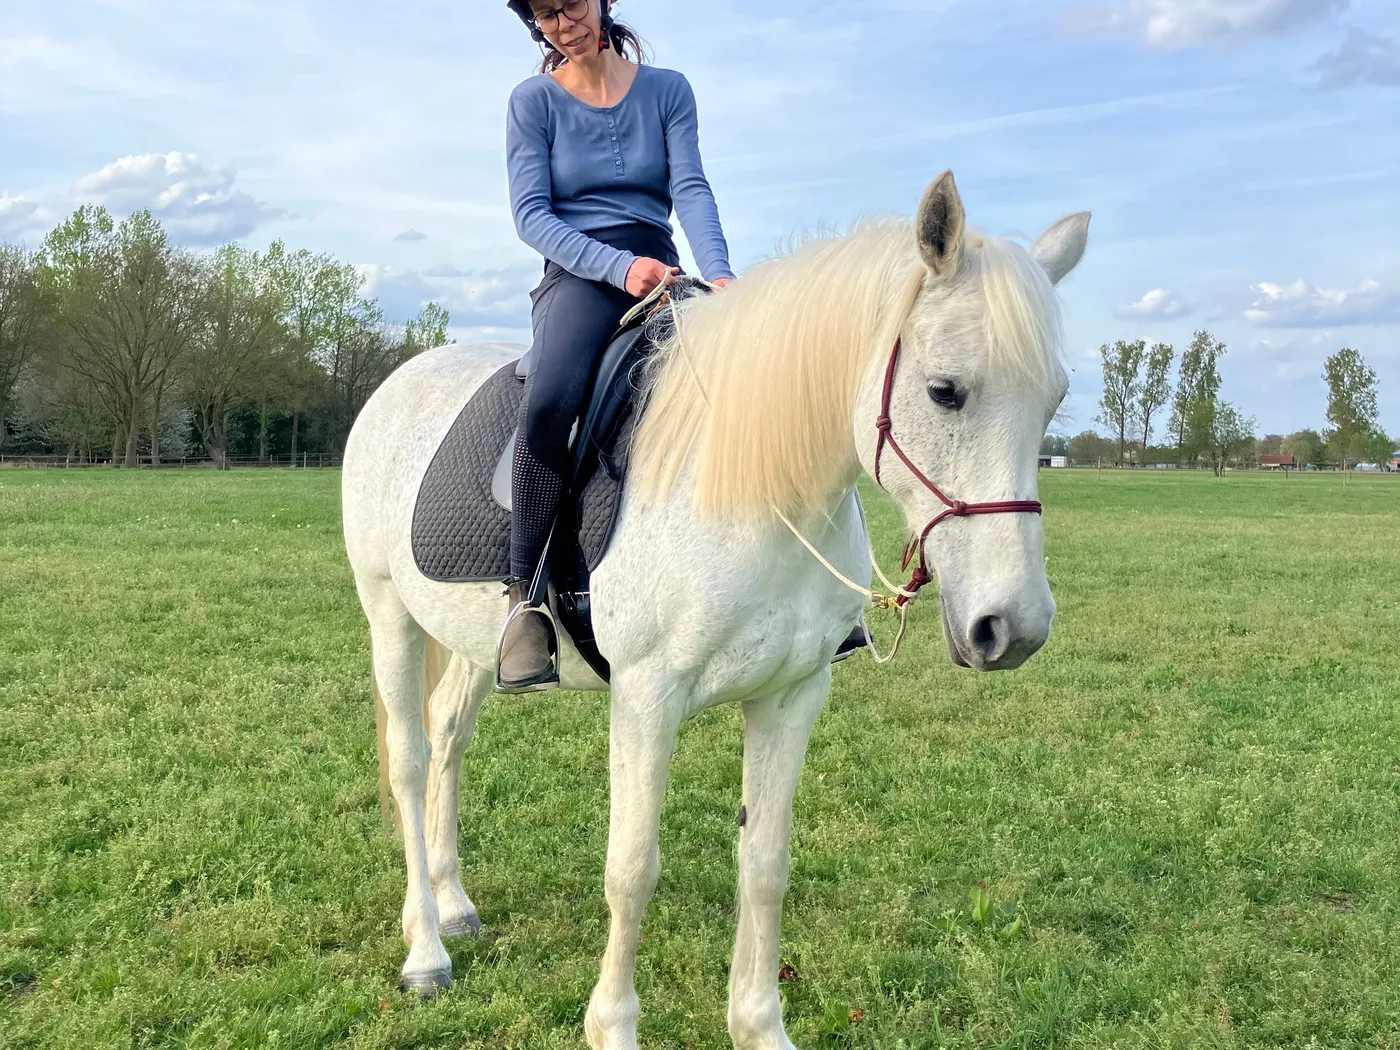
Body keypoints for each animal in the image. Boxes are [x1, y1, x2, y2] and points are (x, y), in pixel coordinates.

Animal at [342, 170, 1089, 1049]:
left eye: (1053, 401)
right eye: (945, 392)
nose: (1014, 626)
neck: (752, 483)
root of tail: (402, 380)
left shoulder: (791, 696)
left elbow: (764, 863)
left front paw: (759, 1025)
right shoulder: (646, 698)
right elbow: (632, 869)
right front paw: (614, 1027)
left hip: (471, 641)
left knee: (451, 741)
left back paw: (453, 903)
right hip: (386, 612)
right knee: (411, 759)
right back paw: (425, 947)